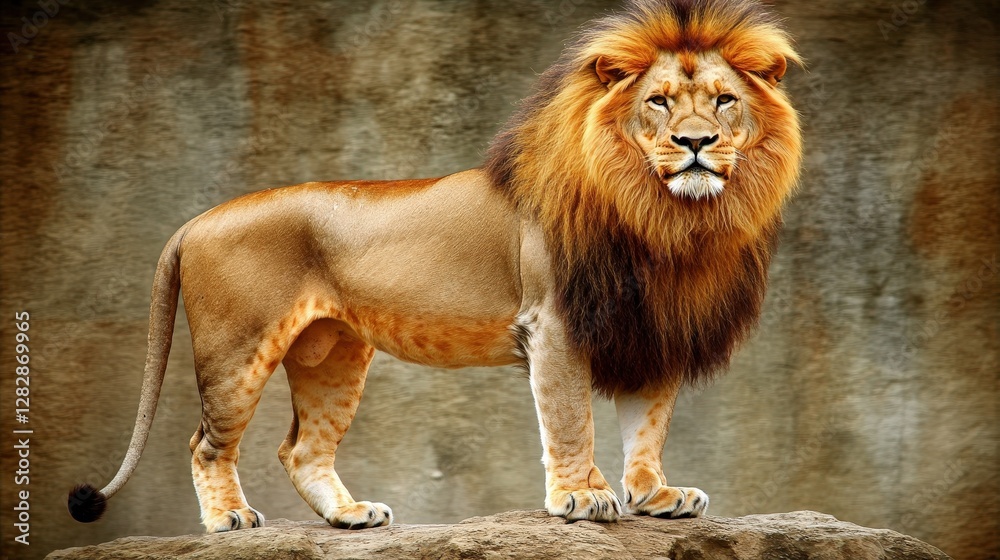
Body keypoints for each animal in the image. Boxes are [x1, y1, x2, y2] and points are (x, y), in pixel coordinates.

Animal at [69, 0, 801, 532]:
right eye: (658, 101)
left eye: (723, 100)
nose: (695, 142)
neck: (666, 217)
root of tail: (196, 220)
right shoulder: (555, 326)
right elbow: (572, 422)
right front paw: (581, 499)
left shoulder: (655, 326)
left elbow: (647, 426)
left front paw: (655, 496)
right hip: (237, 350)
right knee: (205, 443)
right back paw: (228, 519)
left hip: (331, 353)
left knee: (302, 449)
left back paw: (350, 516)